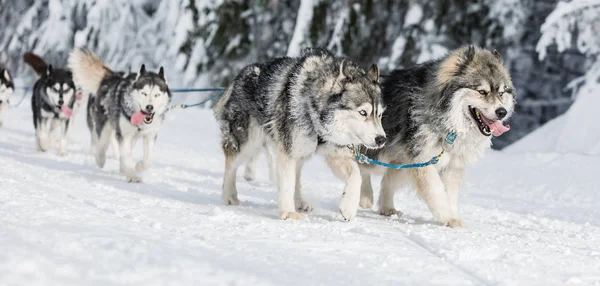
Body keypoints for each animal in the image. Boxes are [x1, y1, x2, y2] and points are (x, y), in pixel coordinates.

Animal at [68, 49, 171, 182]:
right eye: (144, 93)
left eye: (157, 95)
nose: (149, 107)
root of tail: (110, 77)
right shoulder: (124, 135)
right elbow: (125, 155)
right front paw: (132, 176)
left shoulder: (150, 135)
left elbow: (147, 159)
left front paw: (138, 167)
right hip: (105, 125)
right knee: (102, 143)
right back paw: (100, 159)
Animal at [213, 48, 386, 220]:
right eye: (363, 112)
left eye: (379, 114)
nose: (381, 139)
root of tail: (242, 73)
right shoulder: (287, 152)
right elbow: (288, 183)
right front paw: (288, 213)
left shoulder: (335, 154)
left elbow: (356, 176)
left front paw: (348, 207)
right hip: (248, 144)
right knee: (231, 165)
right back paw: (229, 195)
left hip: (300, 151)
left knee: (296, 175)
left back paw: (300, 202)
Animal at [358, 45, 512, 227]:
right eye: (482, 91)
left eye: (501, 93)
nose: (502, 112)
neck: (449, 123)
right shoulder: (422, 160)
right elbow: (436, 190)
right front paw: (445, 215)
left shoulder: (451, 166)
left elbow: (450, 195)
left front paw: (453, 218)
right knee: (362, 167)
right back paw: (365, 196)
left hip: (399, 162)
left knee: (386, 180)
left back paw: (387, 208)